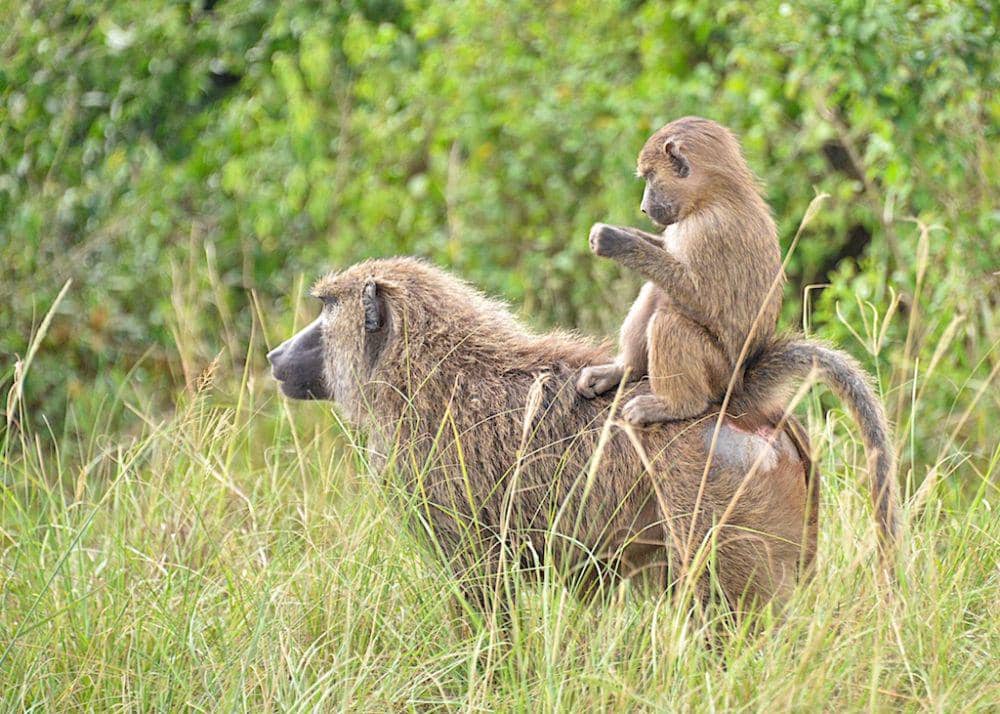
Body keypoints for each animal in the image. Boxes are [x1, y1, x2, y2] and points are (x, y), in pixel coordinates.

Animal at [577, 117, 899, 554]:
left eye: (649, 177)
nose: (644, 208)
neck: (712, 195)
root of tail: (741, 383)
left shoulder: (710, 231)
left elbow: (697, 295)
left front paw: (616, 241)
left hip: (716, 374)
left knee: (671, 317)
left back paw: (674, 405)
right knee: (656, 293)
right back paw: (621, 371)